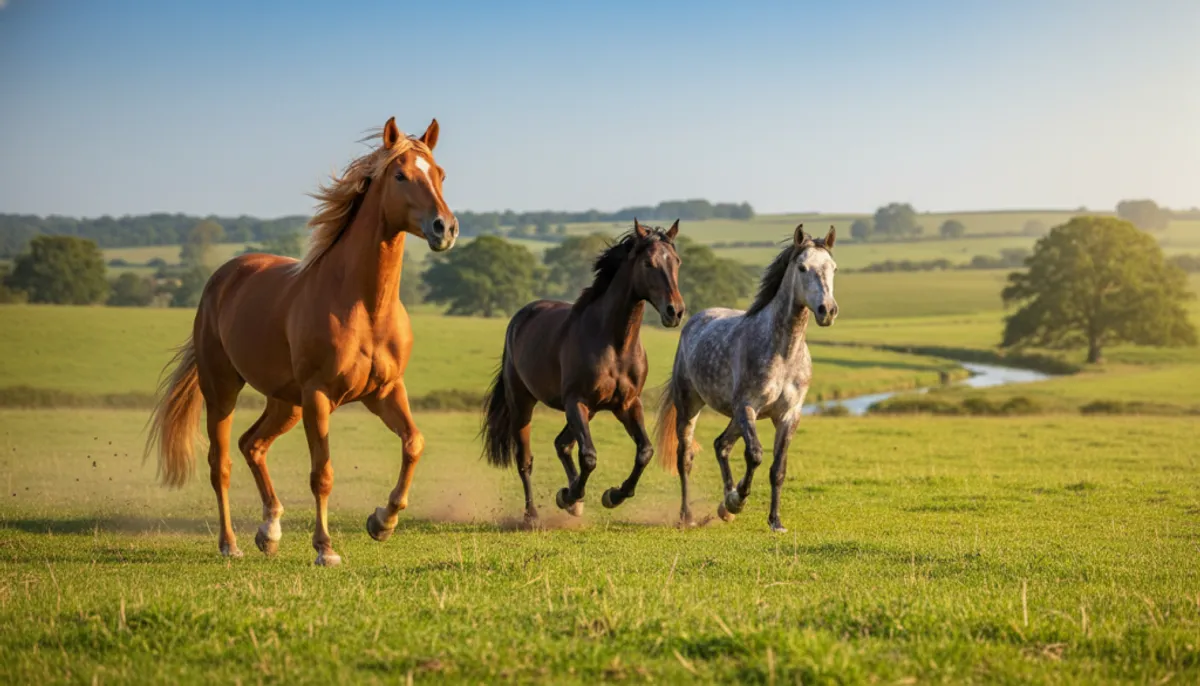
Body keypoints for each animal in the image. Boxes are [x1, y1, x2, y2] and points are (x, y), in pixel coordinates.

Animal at [145, 117, 458, 566]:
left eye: (440, 174)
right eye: (400, 175)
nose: (444, 228)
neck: (364, 307)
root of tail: (223, 276)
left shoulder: (384, 391)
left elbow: (414, 442)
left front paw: (382, 521)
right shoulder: (319, 396)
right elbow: (322, 474)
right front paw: (325, 548)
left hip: (285, 402)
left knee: (252, 444)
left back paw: (270, 531)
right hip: (223, 389)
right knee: (221, 463)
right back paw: (230, 544)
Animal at [481, 221, 686, 522]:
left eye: (677, 261)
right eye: (648, 263)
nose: (675, 312)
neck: (614, 343)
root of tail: (520, 317)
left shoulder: (626, 404)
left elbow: (644, 451)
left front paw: (613, 495)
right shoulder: (576, 402)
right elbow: (589, 456)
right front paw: (571, 495)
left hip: (589, 410)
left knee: (561, 444)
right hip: (523, 404)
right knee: (525, 460)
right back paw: (533, 514)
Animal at [655, 225, 838, 532]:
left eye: (833, 268)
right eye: (802, 267)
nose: (828, 310)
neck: (783, 352)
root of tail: (695, 320)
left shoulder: (789, 415)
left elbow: (778, 469)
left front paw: (774, 521)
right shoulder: (748, 407)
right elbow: (755, 454)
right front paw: (737, 500)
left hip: (734, 416)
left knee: (721, 445)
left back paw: (723, 508)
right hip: (691, 406)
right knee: (685, 457)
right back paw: (688, 516)